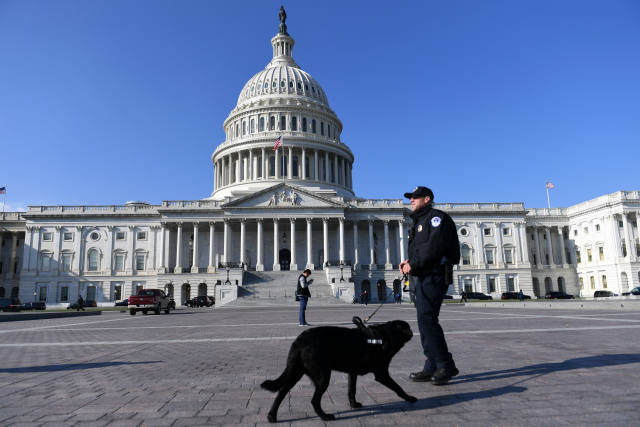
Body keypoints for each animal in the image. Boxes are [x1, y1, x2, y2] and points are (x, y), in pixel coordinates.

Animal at [260, 316, 416, 422]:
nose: (413, 332)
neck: (385, 337)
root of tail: (300, 340)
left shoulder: (352, 372)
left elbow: (351, 390)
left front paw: (354, 405)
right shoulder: (381, 374)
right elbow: (398, 387)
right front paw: (409, 398)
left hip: (296, 372)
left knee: (281, 392)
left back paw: (271, 416)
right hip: (322, 376)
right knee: (314, 400)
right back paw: (324, 416)